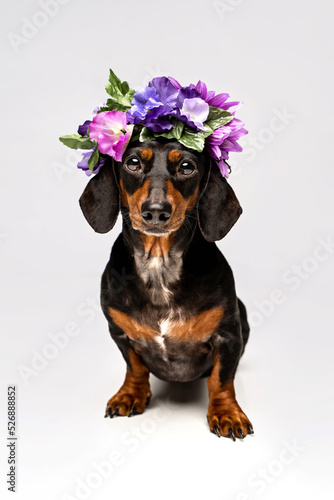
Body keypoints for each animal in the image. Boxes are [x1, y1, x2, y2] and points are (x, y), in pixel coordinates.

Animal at [79, 139, 253, 440]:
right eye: (133, 163)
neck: (159, 265)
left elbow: (221, 379)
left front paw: (226, 413)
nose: (156, 211)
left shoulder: (228, 336)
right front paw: (131, 395)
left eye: (187, 166)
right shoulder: (120, 333)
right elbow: (135, 367)